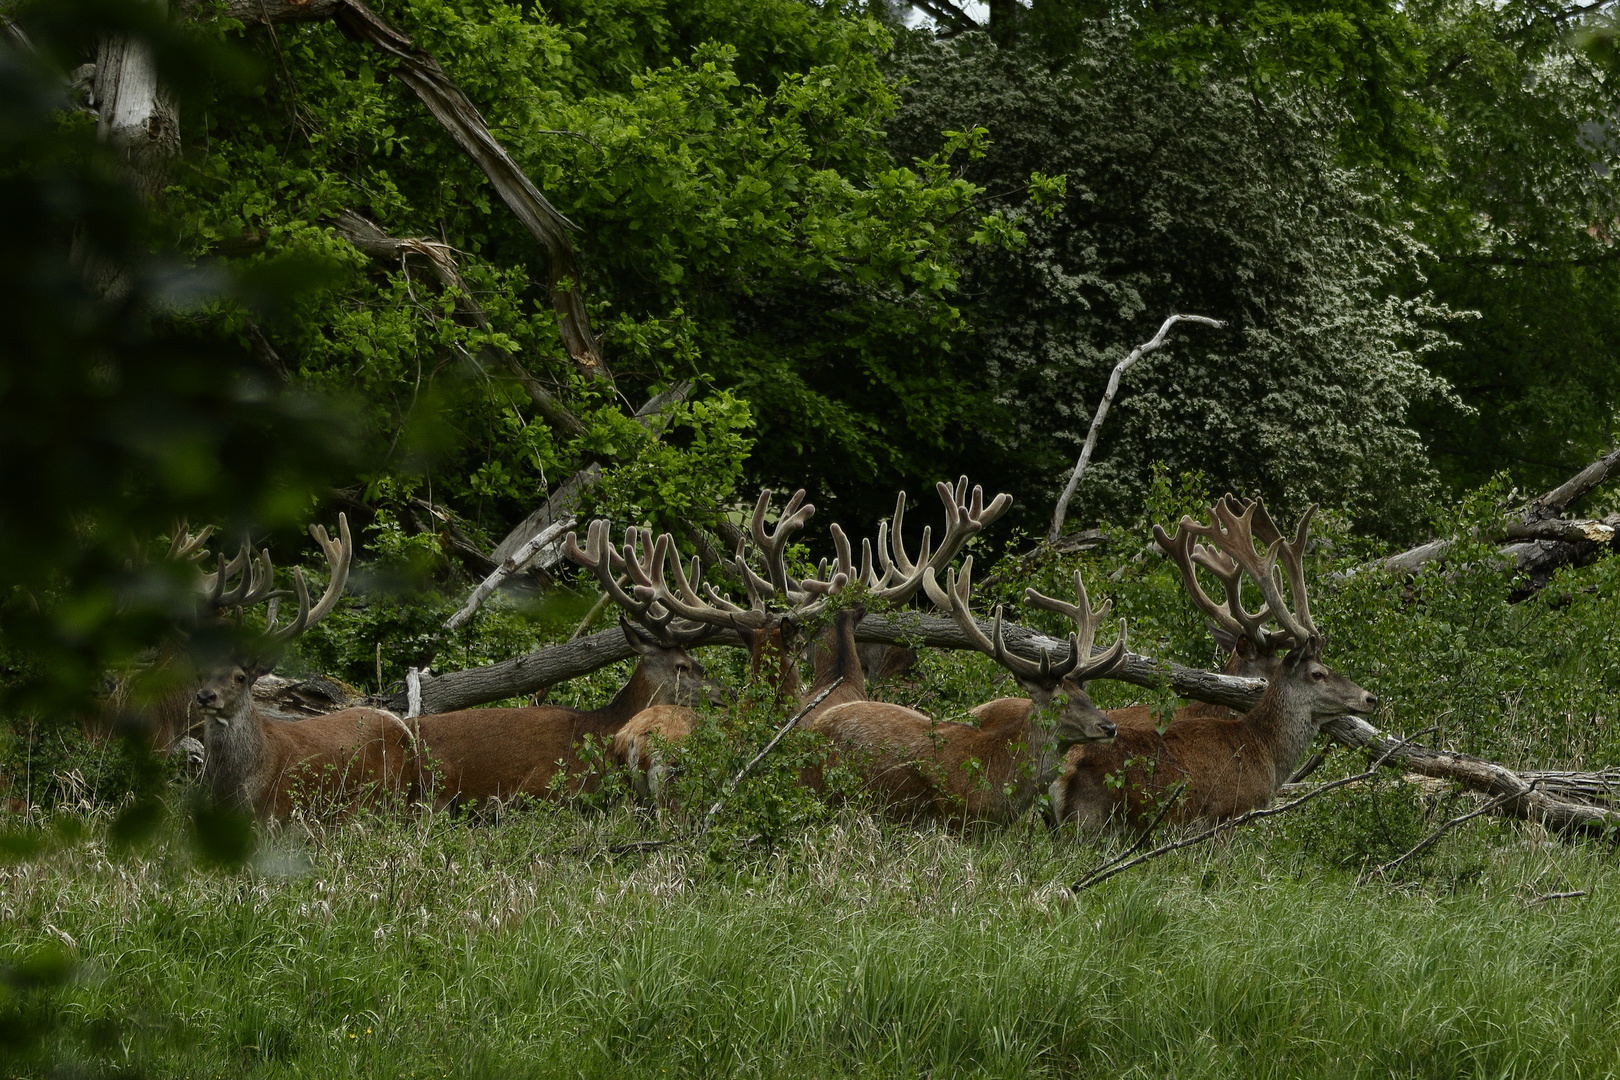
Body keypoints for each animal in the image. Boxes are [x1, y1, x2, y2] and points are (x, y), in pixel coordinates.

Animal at [185, 514, 424, 819]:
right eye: (201, 672)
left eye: (240, 677)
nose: (206, 697)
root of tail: (401, 725)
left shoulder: (278, 812)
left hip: (389, 798)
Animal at [810, 557, 1127, 829]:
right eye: (1060, 701)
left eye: (1087, 696)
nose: (1109, 727)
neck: (998, 773)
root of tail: (817, 725)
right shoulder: (958, 823)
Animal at [1049, 495, 1380, 835]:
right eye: (1318, 673)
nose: (1370, 698)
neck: (1262, 748)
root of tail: (1061, 772)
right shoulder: (1227, 815)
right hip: (1091, 821)